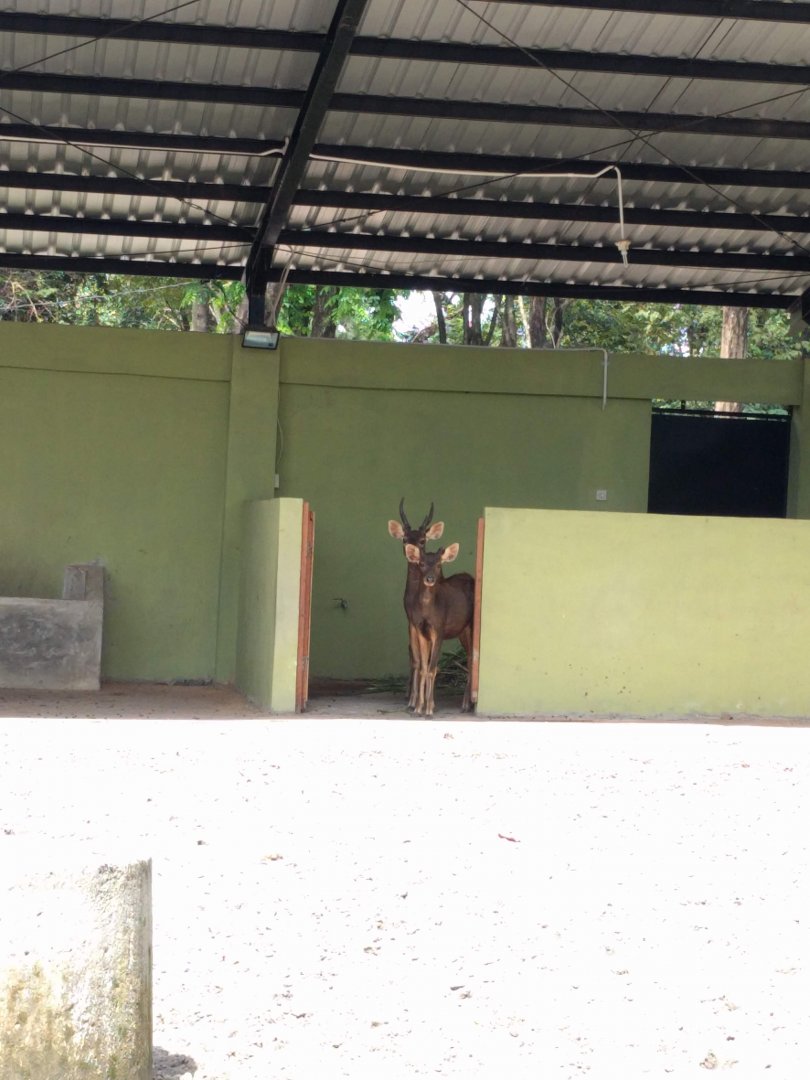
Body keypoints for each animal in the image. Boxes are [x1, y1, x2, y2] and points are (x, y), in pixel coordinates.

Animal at [403, 541, 475, 718]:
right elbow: (423, 668)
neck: (428, 612)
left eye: (438, 564)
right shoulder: (421, 631)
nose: (430, 579)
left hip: (471, 625)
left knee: (472, 657)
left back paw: (465, 704)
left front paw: (428, 709)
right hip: (462, 631)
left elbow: (432, 668)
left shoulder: (439, 630)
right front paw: (418, 708)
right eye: (421, 563)